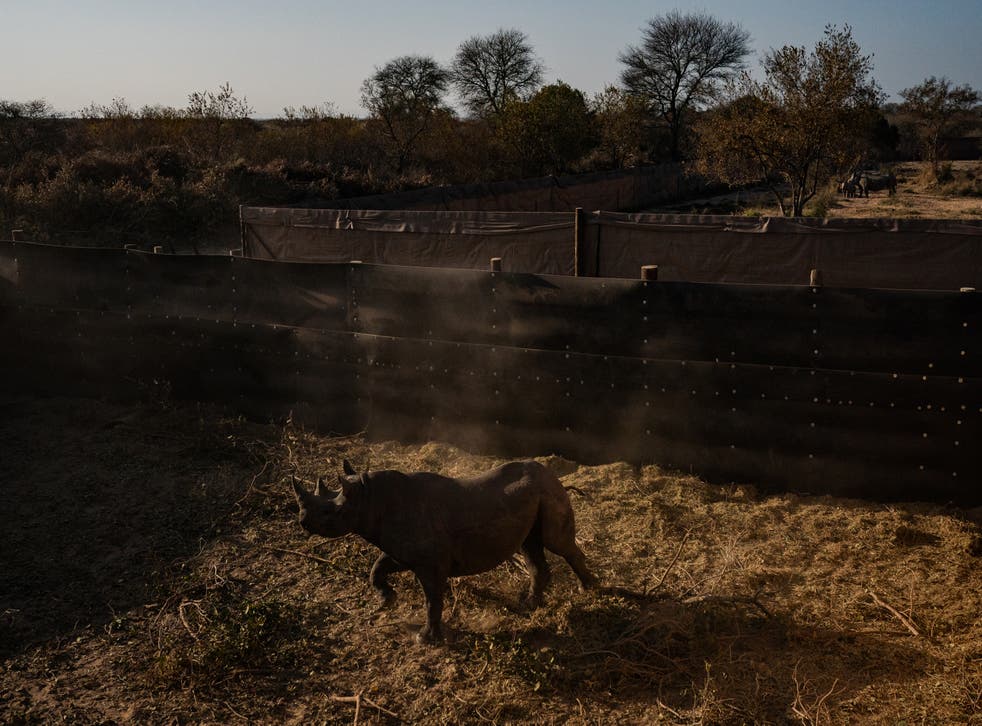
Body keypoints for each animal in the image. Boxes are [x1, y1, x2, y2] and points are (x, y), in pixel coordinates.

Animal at [291, 459, 597, 644]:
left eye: (331, 513)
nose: (302, 521)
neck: (371, 500)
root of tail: (551, 473)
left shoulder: (431, 563)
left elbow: (432, 600)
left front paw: (425, 639)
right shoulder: (403, 551)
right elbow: (377, 567)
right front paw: (387, 599)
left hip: (548, 490)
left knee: (557, 543)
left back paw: (589, 589)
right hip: (534, 496)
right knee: (530, 546)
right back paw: (529, 605)